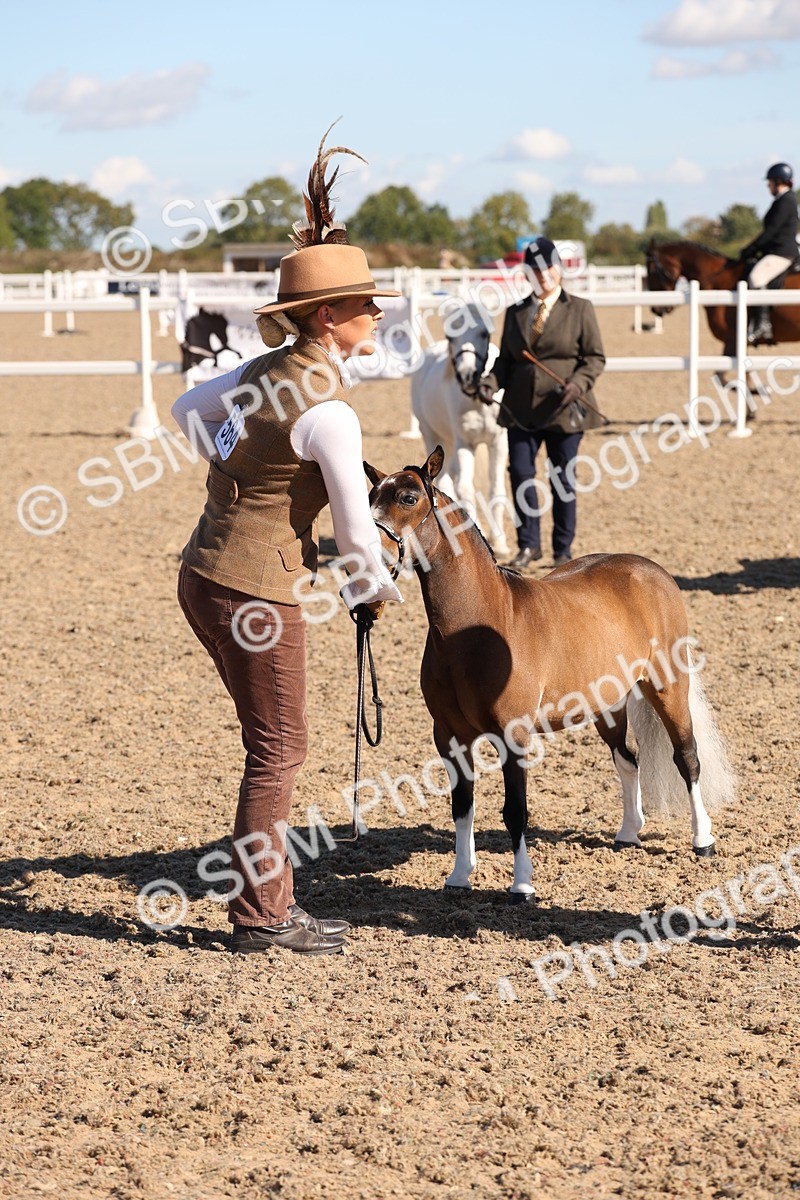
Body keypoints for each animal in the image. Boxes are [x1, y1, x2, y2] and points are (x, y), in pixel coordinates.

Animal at [365, 447, 736, 902]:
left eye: (408, 498)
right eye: (370, 497)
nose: (363, 552)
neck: (478, 627)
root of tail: (653, 571)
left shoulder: (514, 735)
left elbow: (515, 810)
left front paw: (522, 885)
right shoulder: (450, 736)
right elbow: (462, 806)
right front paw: (459, 876)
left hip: (667, 687)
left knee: (686, 757)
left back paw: (703, 841)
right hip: (608, 705)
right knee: (627, 760)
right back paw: (628, 833)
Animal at [410, 303, 510, 559]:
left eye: (484, 333)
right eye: (450, 337)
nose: (468, 376)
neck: (478, 401)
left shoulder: (498, 442)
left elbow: (496, 487)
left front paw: (501, 542)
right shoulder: (465, 444)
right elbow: (465, 488)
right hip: (434, 437)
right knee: (447, 482)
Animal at [645, 239, 800, 394]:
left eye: (652, 272)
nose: (656, 309)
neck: (720, 280)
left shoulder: (733, 339)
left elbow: (725, 376)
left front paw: (754, 390)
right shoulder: (732, 342)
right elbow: (729, 375)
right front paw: (753, 391)